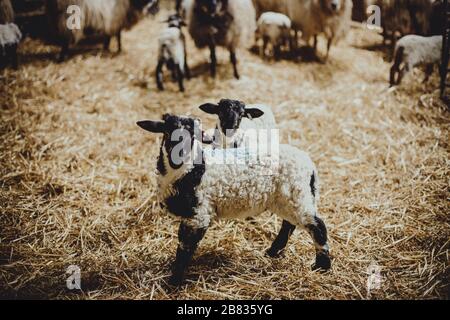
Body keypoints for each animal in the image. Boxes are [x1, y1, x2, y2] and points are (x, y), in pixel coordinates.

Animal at [137, 114, 330, 286]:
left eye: (194, 134)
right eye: (168, 131)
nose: (179, 155)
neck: (187, 171)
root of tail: (310, 165)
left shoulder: (199, 215)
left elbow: (185, 248)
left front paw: (174, 282)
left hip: (296, 194)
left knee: (317, 225)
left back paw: (322, 267)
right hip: (287, 198)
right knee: (289, 224)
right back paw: (272, 252)